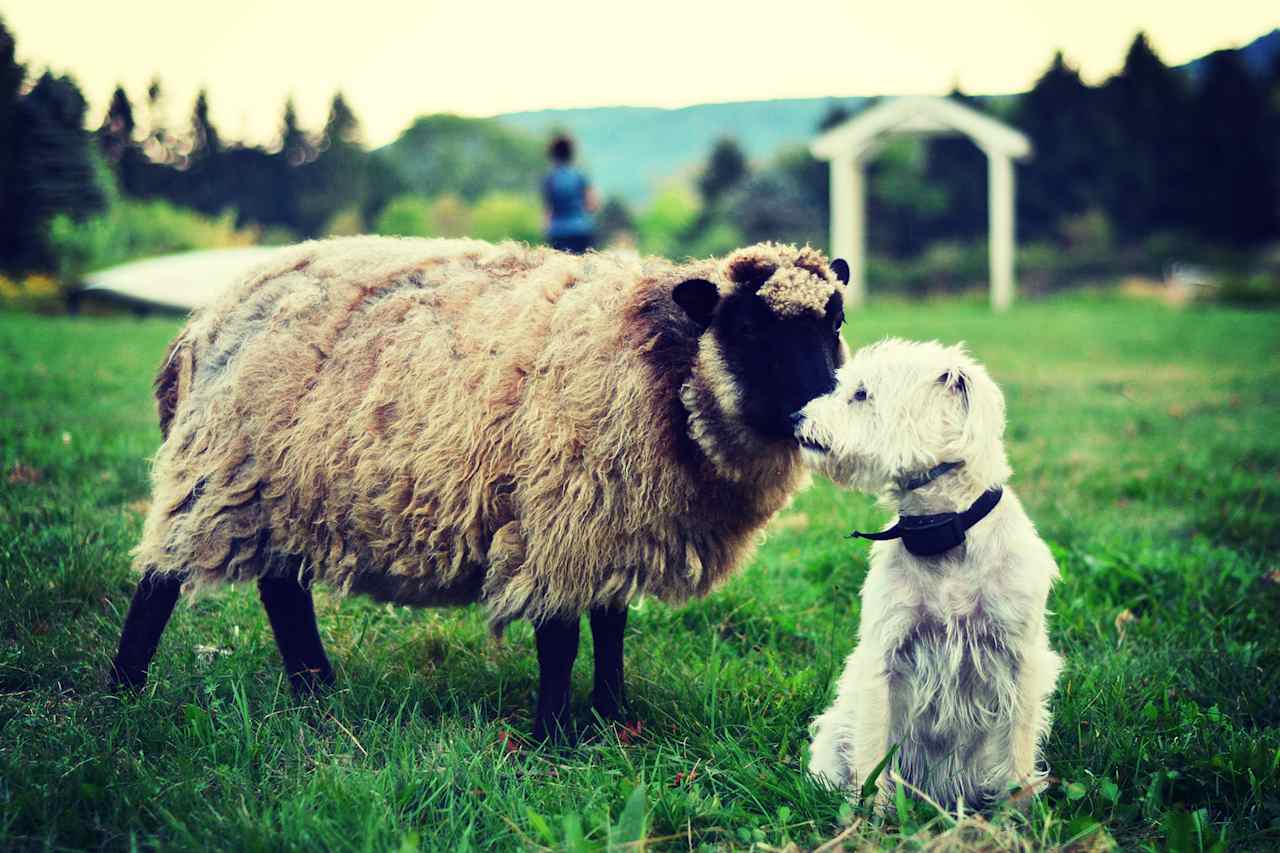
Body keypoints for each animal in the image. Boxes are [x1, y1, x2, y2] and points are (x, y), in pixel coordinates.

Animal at [110, 234, 849, 737]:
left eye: (835, 322)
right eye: (748, 327)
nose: (826, 408)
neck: (660, 360)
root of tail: (202, 324)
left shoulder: (615, 521)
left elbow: (611, 626)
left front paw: (613, 717)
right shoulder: (562, 515)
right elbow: (561, 638)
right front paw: (553, 738)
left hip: (284, 487)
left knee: (281, 589)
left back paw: (314, 691)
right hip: (217, 468)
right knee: (159, 581)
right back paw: (123, 692)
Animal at [798, 338, 1059, 804]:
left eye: (861, 394)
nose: (796, 418)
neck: (942, 531)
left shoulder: (1019, 661)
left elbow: (1018, 750)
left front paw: (1018, 815)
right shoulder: (885, 658)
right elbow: (873, 757)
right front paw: (870, 816)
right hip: (834, 731)